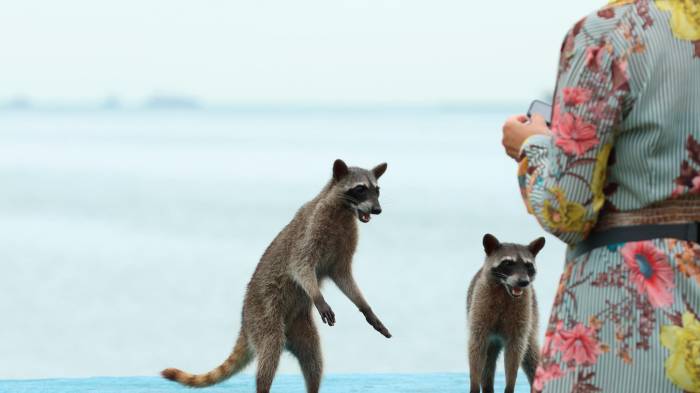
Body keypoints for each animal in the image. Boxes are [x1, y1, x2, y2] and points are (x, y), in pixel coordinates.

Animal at [163, 159, 394, 392]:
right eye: (360, 189)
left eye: (377, 190)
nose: (377, 210)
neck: (345, 211)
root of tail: (245, 324)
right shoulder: (311, 230)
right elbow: (300, 265)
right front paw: (317, 295)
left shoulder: (343, 246)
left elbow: (344, 278)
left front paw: (365, 307)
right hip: (264, 313)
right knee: (270, 348)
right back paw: (263, 384)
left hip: (300, 326)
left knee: (313, 359)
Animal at [468, 233, 544, 392]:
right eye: (508, 263)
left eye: (528, 265)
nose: (524, 282)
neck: (505, 290)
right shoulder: (479, 309)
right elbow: (476, 348)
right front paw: (474, 384)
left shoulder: (522, 314)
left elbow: (516, 352)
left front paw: (510, 385)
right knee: (487, 364)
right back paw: (487, 386)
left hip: (532, 315)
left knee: (531, 353)